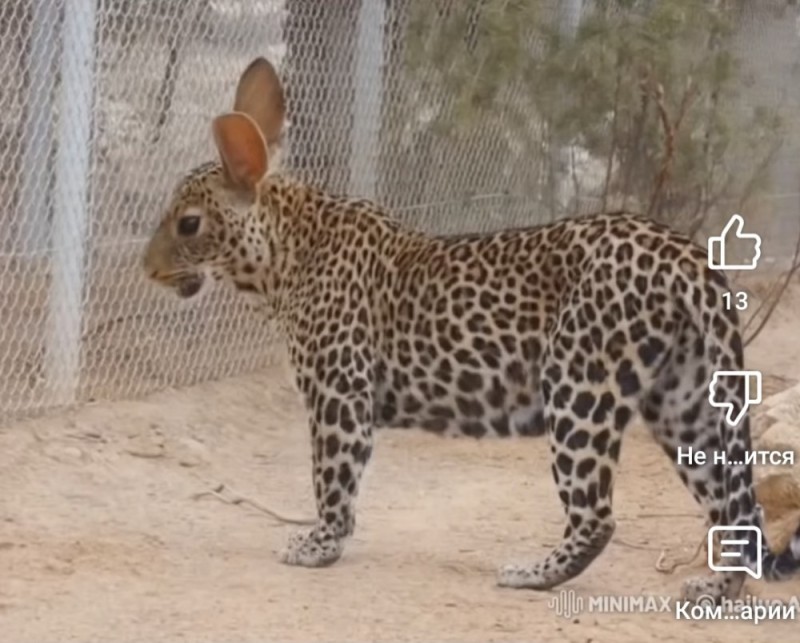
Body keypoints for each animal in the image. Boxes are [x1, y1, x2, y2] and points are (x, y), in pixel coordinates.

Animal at [141, 56, 796, 604]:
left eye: (188, 224)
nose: (147, 269)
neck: (282, 257)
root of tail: (685, 251)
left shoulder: (339, 397)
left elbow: (332, 480)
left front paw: (318, 546)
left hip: (579, 385)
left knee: (599, 517)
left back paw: (532, 573)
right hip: (685, 401)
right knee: (733, 507)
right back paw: (714, 590)